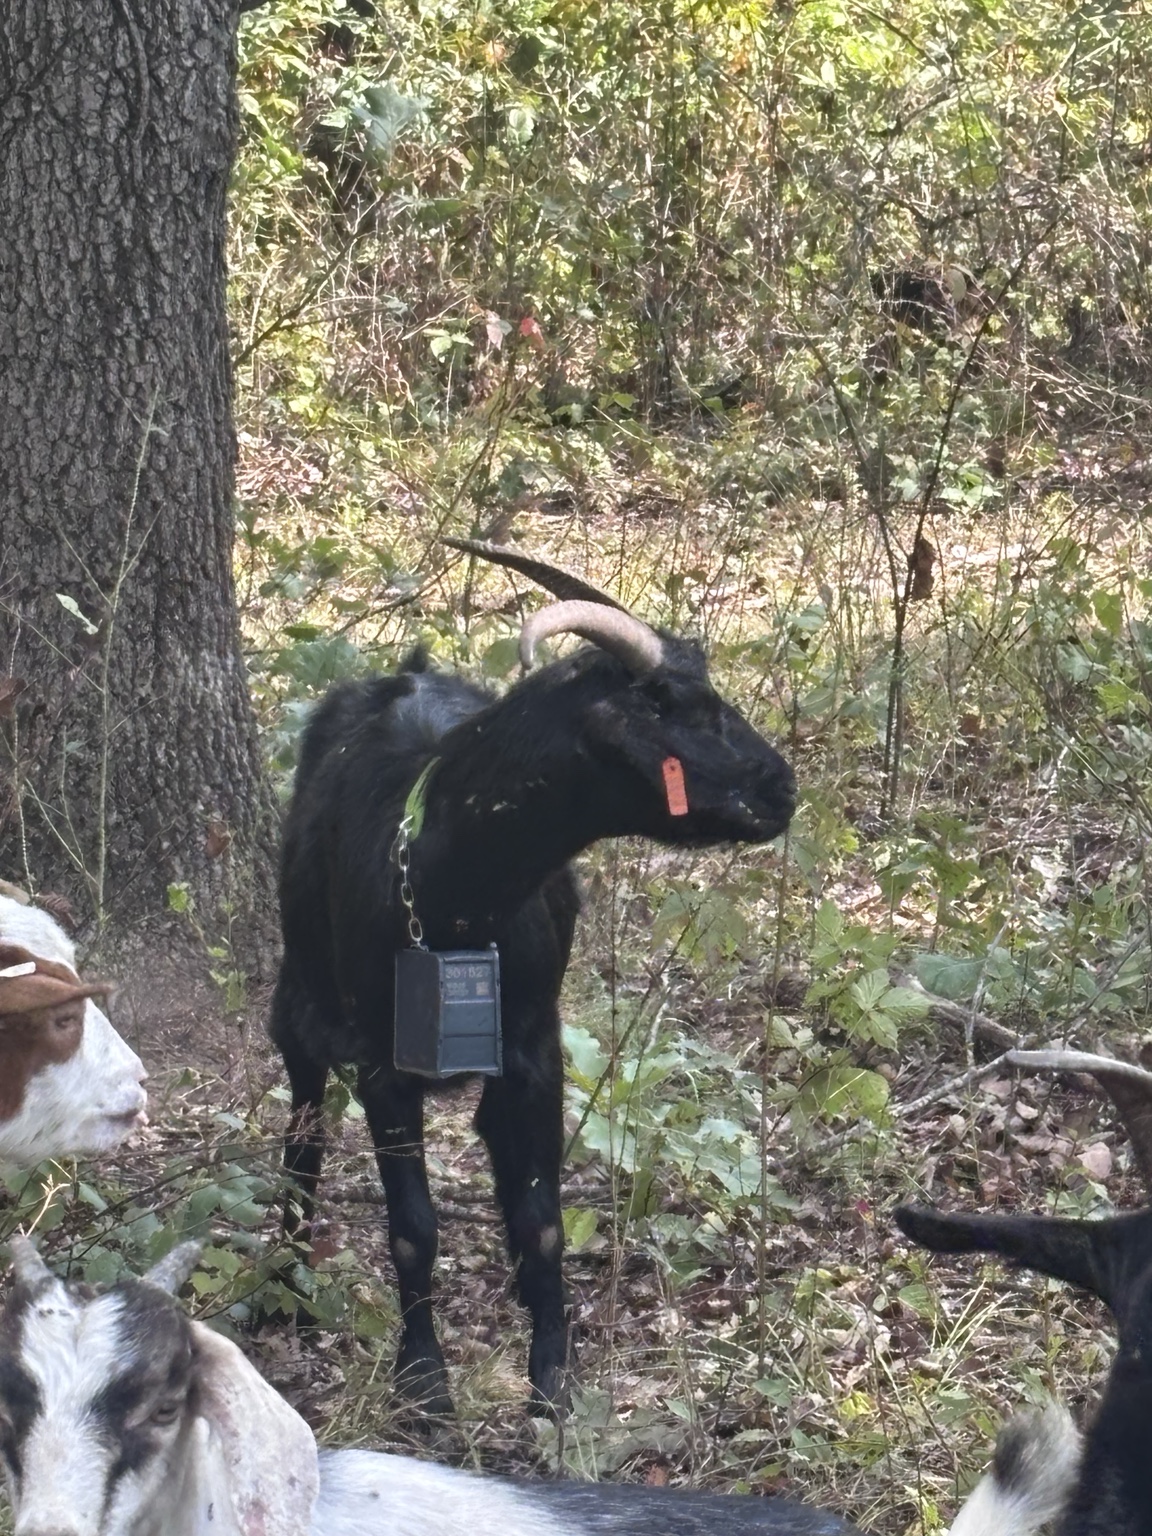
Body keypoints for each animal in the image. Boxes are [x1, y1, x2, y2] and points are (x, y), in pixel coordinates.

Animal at [270, 543, 799, 1415]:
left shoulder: (537, 1047)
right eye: (664, 700)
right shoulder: (385, 1065)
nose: (780, 787)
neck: (448, 897)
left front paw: (553, 1374)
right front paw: (424, 1378)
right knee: (303, 1129)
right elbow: (412, 1227)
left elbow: (541, 1217)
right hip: (298, 1005)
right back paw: (283, 1283)